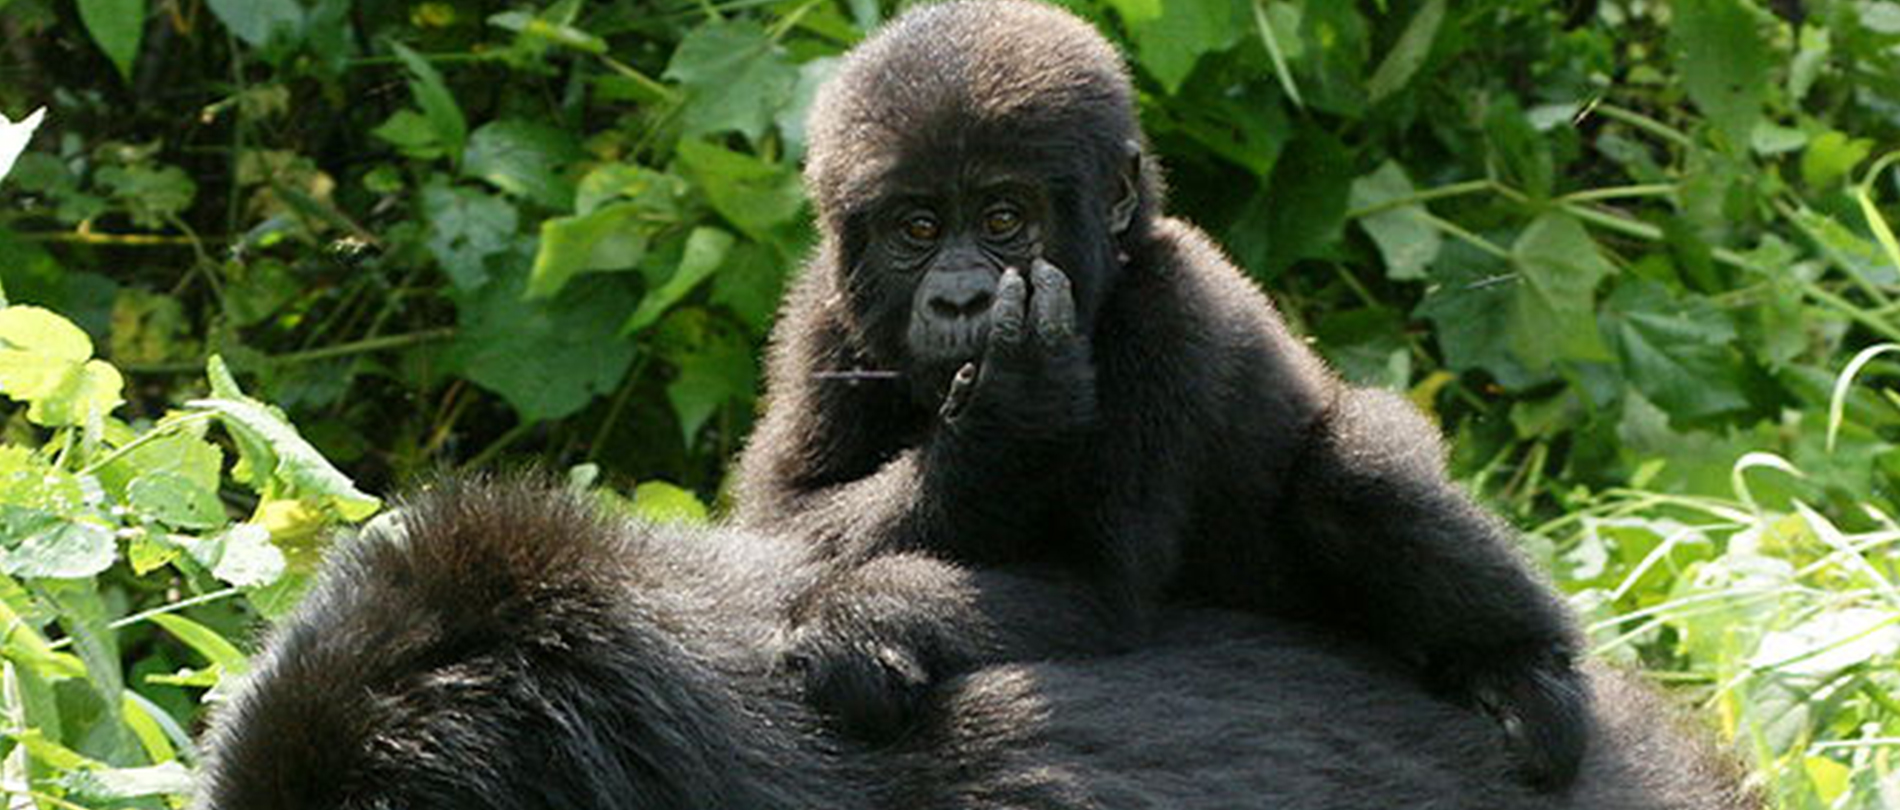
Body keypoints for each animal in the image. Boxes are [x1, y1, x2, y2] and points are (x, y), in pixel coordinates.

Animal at [732, 0, 1588, 788]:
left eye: (1004, 218)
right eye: (917, 228)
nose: (960, 301)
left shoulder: (1169, 313)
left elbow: (1097, 589)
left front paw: (863, 617)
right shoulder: (822, 311)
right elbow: (784, 520)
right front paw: (1007, 420)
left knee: (1362, 471)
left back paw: (1529, 669)